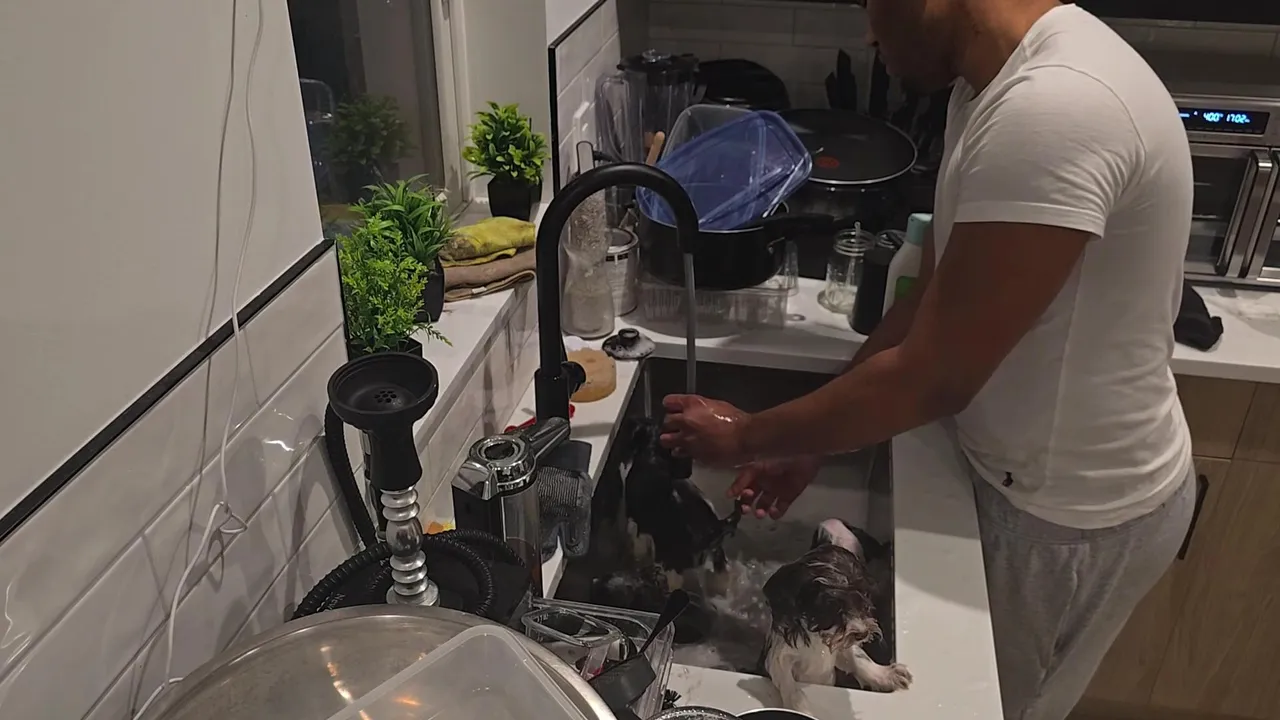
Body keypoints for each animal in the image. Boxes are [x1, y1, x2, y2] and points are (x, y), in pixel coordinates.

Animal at [762, 519, 911, 714]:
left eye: (865, 597)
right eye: (832, 606)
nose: (863, 634)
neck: (818, 638)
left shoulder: (840, 647)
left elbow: (859, 658)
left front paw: (887, 674)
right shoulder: (780, 655)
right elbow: (788, 682)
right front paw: (800, 710)